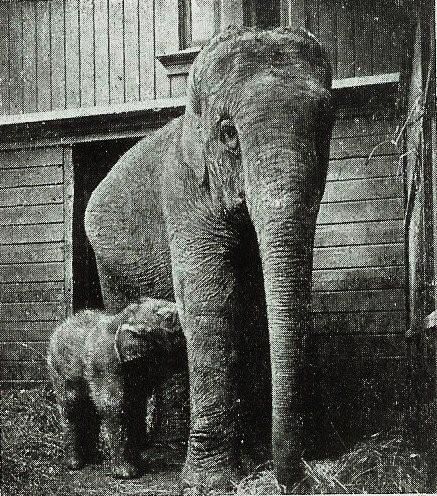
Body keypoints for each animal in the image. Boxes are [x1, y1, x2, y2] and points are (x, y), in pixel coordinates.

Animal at [46, 296, 186, 478]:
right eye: (169, 319)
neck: (122, 318)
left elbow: (135, 408)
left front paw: (139, 465)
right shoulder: (105, 365)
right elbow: (113, 407)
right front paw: (127, 474)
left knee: (90, 409)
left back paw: (94, 459)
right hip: (57, 369)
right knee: (71, 408)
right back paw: (75, 464)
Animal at [83, 26, 332, 492]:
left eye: (325, 126)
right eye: (229, 132)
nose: (294, 481)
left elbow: (253, 307)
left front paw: (251, 460)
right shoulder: (184, 196)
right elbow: (212, 302)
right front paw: (209, 484)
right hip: (110, 268)